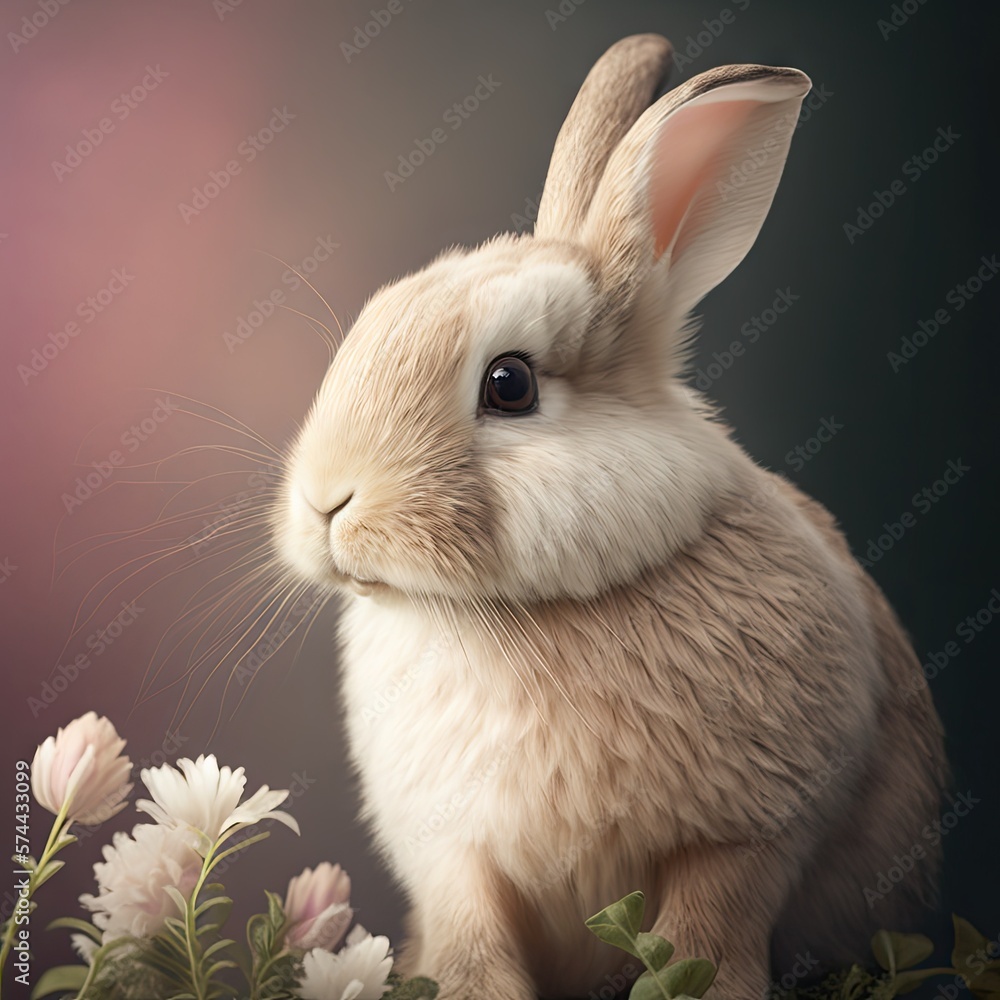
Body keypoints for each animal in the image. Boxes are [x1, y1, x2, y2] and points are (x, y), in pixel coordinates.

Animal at [275, 33, 947, 1000]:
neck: (515, 617)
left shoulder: (750, 833)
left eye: (509, 384)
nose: (326, 500)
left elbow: (706, 931)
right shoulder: (453, 853)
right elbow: (471, 938)